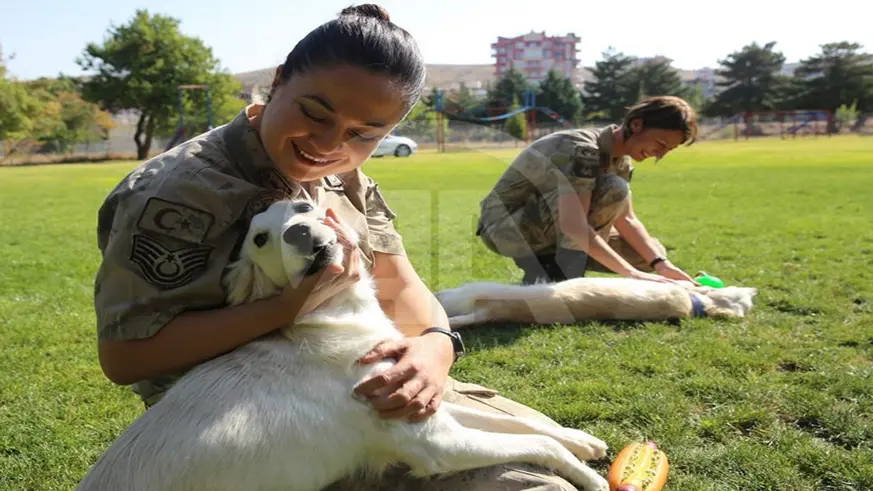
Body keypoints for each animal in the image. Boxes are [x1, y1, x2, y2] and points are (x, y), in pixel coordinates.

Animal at [75, 200, 608, 491]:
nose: (300, 233)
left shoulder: (424, 402)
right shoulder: (436, 443)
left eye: (302, 207)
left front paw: (581, 440)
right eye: (260, 238)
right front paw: (591, 476)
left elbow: (525, 424)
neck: (335, 320)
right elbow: (536, 441)